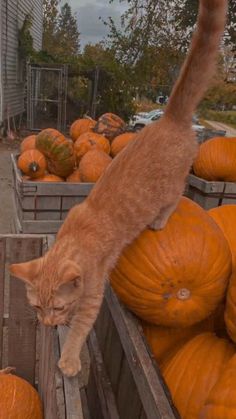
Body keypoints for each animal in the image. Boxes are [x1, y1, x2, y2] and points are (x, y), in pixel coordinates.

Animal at [9, 0, 227, 378]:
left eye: (58, 307)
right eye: (37, 308)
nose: (49, 323)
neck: (73, 239)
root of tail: (169, 118)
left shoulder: (93, 294)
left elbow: (81, 327)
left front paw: (69, 358)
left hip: (173, 185)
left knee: (175, 196)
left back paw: (160, 219)